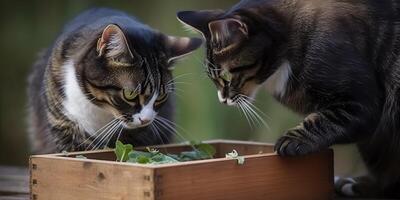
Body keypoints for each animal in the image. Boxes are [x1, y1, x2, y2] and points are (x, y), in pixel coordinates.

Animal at [27, 8, 202, 153]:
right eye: (130, 94)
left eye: (161, 96)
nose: (146, 120)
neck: (102, 109)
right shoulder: (63, 123)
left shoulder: (144, 133)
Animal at [177, 0, 400, 197]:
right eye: (213, 79)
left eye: (225, 77)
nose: (222, 100)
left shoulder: (361, 100)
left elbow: (324, 119)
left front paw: (290, 141)